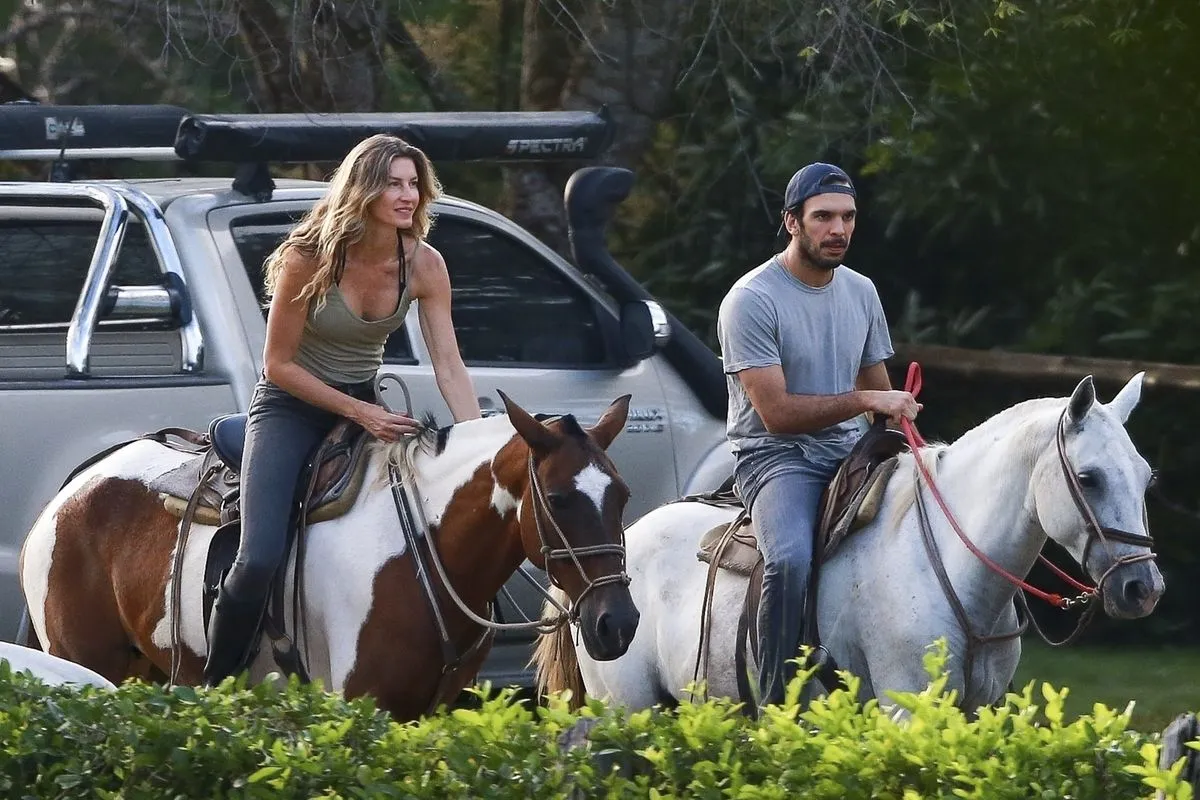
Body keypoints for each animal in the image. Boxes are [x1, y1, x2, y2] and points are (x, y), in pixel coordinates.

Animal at [18, 393, 643, 719]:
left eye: (622, 495)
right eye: (559, 499)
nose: (617, 623)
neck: (422, 551)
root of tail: (73, 490)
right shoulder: (361, 704)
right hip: (88, 665)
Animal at [535, 371, 1161, 710]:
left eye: (1146, 475)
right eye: (1089, 478)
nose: (1142, 588)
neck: (949, 565)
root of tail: (604, 560)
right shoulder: (905, 706)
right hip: (625, 708)